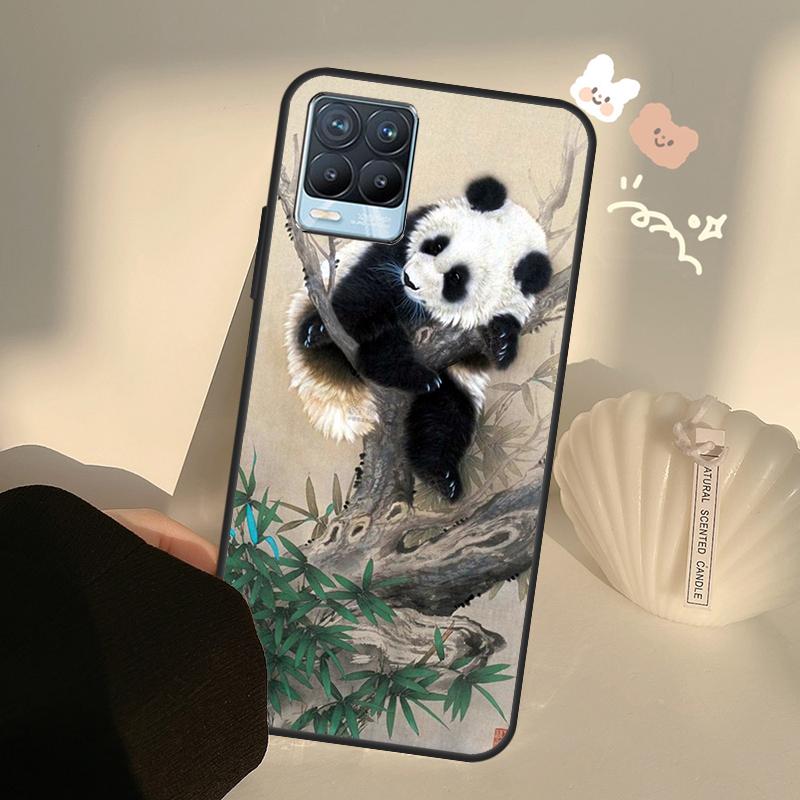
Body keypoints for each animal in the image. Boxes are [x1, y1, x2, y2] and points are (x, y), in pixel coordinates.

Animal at [285, 176, 551, 502]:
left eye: (456, 279)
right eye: (436, 245)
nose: (410, 281)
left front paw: (501, 339)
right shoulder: (400, 242)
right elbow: (371, 286)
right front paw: (320, 327)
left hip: (449, 386)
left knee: (445, 414)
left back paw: (441, 474)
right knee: (381, 347)